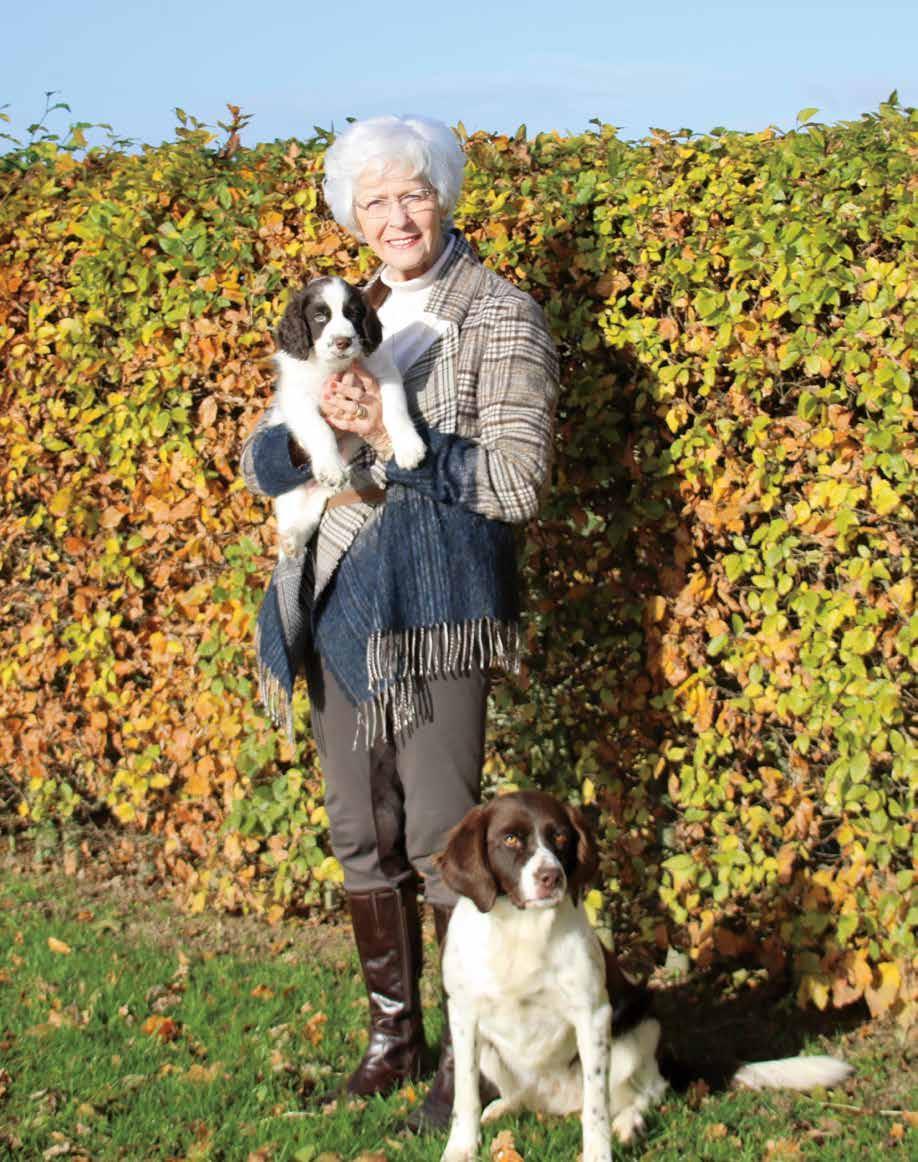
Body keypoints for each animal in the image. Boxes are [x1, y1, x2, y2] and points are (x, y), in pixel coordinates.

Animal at [263, 276, 425, 557]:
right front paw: (330, 466)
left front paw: (408, 447)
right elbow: (319, 429)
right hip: (291, 496)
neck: (332, 367)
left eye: (354, 314)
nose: (343, 342)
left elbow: (395, 412)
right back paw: (290, 541)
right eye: (319, 317)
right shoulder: (296, 397)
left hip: (318, 499)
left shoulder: (385, 375)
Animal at [439, 790, 855, 1162]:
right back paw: (503, 1107)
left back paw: (629, 1124)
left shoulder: (594, 1016)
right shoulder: (463, 1016)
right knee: (523, 1095)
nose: (551, 877)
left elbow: (597, 1109)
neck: (521, 930)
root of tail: (557, 1103)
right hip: (495, 1054)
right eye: (510, 838)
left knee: (642, 1093)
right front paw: (461, 1147)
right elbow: (464, 1093)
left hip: (638, 1034)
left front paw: (599, 1154)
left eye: (560, 837)